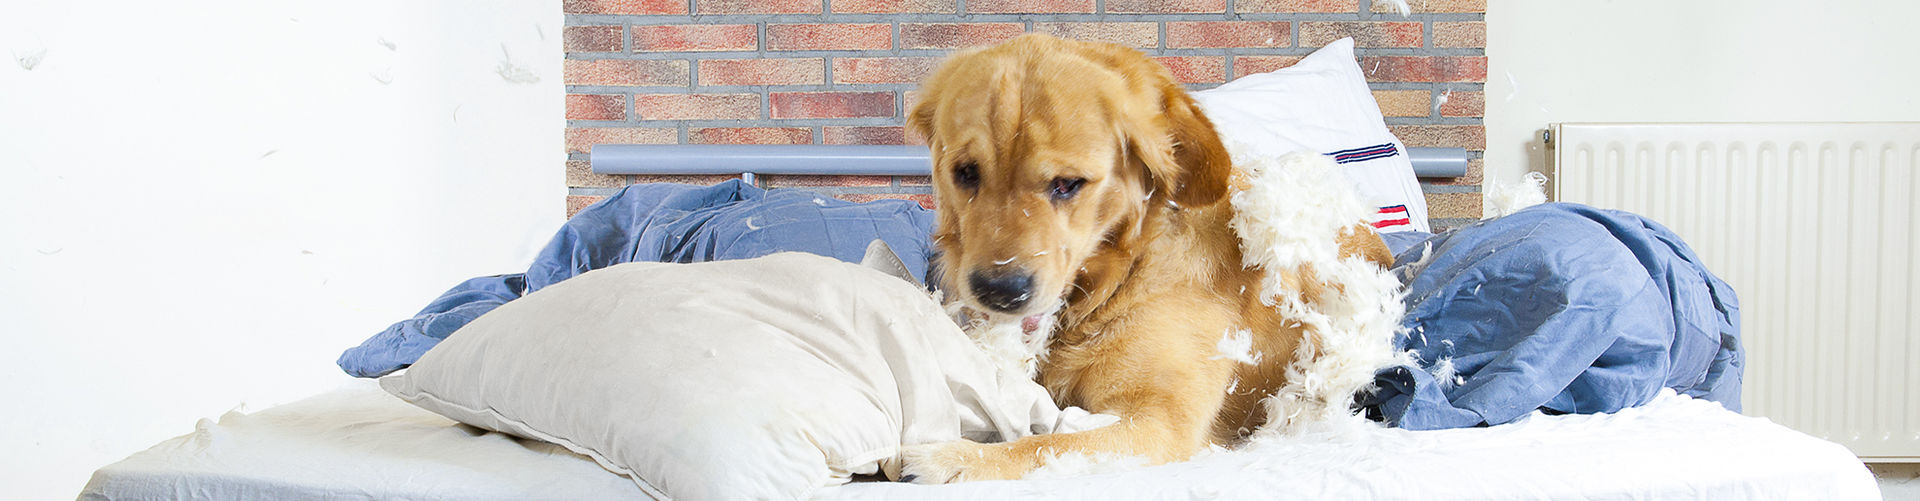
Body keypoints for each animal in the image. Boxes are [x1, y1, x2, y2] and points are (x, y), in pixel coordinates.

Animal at [898, 34, 1397, 479]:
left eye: (1068, 184)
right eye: (965, 172)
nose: (999, 292)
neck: (1114, 282)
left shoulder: (1160, 424)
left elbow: (1045, 445)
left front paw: (956, 458)